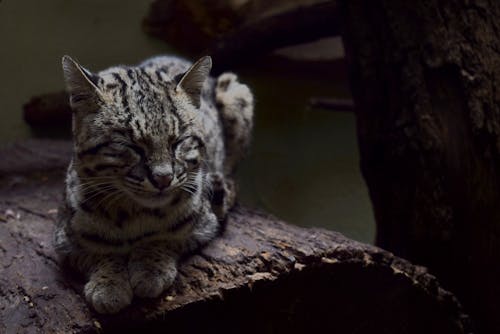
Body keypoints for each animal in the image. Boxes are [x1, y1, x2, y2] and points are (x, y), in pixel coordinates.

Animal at [53, 54, 254, 314]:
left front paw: (150, 269)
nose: (163, 178)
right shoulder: (65, 239)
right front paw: (109, 285)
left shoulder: (203, 224)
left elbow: (165, 238)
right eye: (130, 145)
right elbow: (99, 250)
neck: (132, 211)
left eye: (178, 141)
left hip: (237, 93)